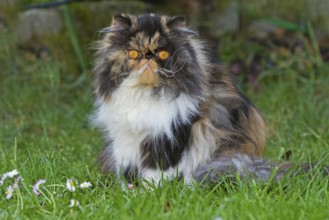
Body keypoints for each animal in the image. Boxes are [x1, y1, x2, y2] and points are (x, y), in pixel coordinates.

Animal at [90, 14, 326, 186]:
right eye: (133, 53)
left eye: (163, 54)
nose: (148, 57)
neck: (146, 94)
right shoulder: (125, 139)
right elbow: (128, 170)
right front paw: (130, 191)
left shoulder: (170, 135)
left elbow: (157, 169)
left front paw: (152, 192)